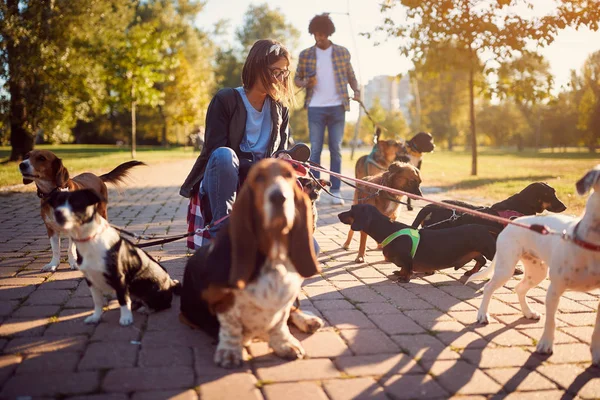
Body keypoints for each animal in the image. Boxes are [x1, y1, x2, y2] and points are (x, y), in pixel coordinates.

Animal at [180, 158, 322, 368]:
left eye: (289, 176)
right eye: (258, 177)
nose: (279, 197)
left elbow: (280, 320)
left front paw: (285, 343)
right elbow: (233, 325)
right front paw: (230, 352)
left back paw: (308, 321)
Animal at [338, 203, 496, 282]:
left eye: (351, 209)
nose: (338, 214)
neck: (388, 229)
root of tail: (485, 227)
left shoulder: (407, 258)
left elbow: (407, 268)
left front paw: (404, 278)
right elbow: (403, 268)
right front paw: (399, 273)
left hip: (490, 251)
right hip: (475, 251)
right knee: (481, 260)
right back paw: (471, 272)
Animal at [468, 164, 600, 364]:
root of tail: (512, 222)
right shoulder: (554, 290)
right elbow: (551, 321)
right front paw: (545, 345)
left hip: (537, 272)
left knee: (519, 289)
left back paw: (528, 312)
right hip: (506, 268)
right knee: (489, 287)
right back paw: (482, 315)